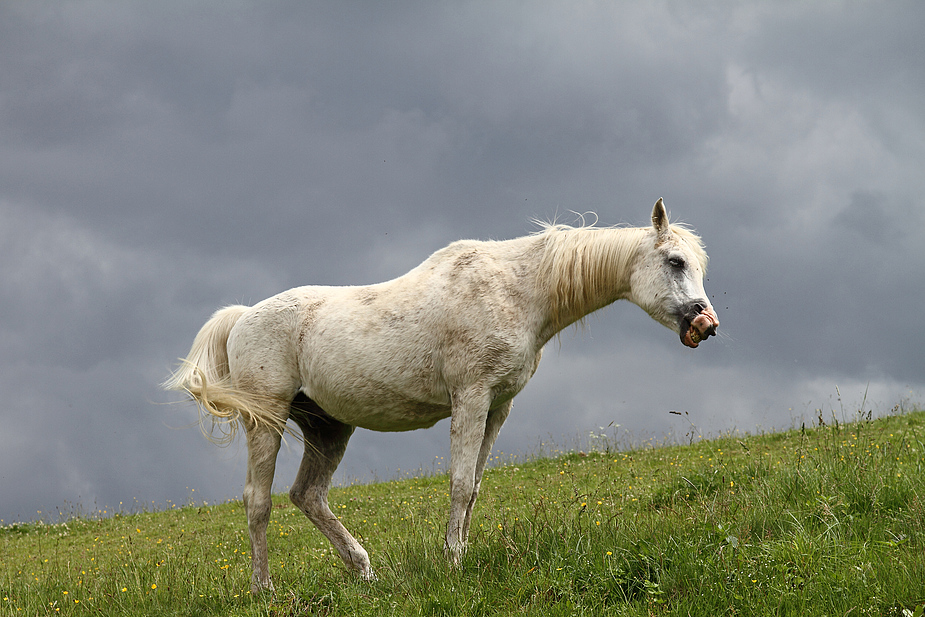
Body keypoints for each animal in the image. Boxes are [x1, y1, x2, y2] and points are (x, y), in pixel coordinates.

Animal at [162, 199, 720, 592]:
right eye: (674, 261)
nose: (706, 324)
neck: (518, 290)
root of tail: (242, 316)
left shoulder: (498, 406)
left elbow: (473, 487)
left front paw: (461, 555)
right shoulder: (471, 398)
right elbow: (457, 483)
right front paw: (452, 564)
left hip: (329, 427)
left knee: (308, 496)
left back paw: (364, 572)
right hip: (268, 420)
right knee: (258, 502)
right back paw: (266, 588)